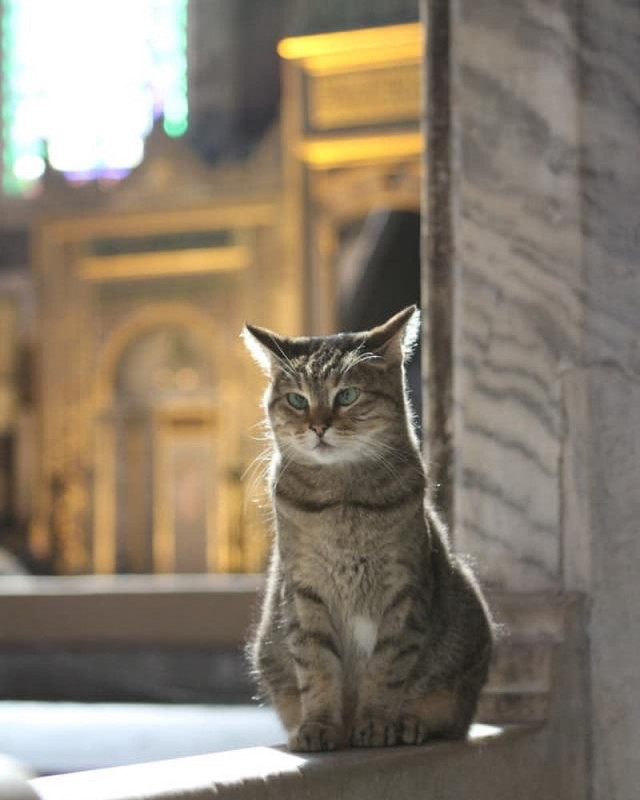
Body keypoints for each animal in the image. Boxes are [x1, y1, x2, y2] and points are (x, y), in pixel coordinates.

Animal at [242, 304, 492, 752]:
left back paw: (410, 724)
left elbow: (386, 668)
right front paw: (318, 727)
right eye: (297, 400)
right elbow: (317, 667)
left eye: (347, 395)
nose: (318, 426)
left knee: (450, 721)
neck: (343, 502)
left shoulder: (404, 592)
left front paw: (376, 723)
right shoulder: (305, 592)